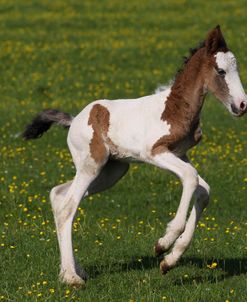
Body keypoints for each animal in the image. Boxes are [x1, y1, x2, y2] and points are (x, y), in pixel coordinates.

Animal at [23, 25, 247, 286]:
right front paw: (163, 244)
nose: (242, 105)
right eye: (221, 71)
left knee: (58, 195)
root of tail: (74, 119)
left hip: (112, 171)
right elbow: (191, 178)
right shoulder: (154, 152)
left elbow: (203, 191)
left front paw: (170, 260)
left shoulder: (180, 154)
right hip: (92, 166)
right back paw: (71, 277)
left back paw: (73, 270)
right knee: (68, 206)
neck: (174, 108)